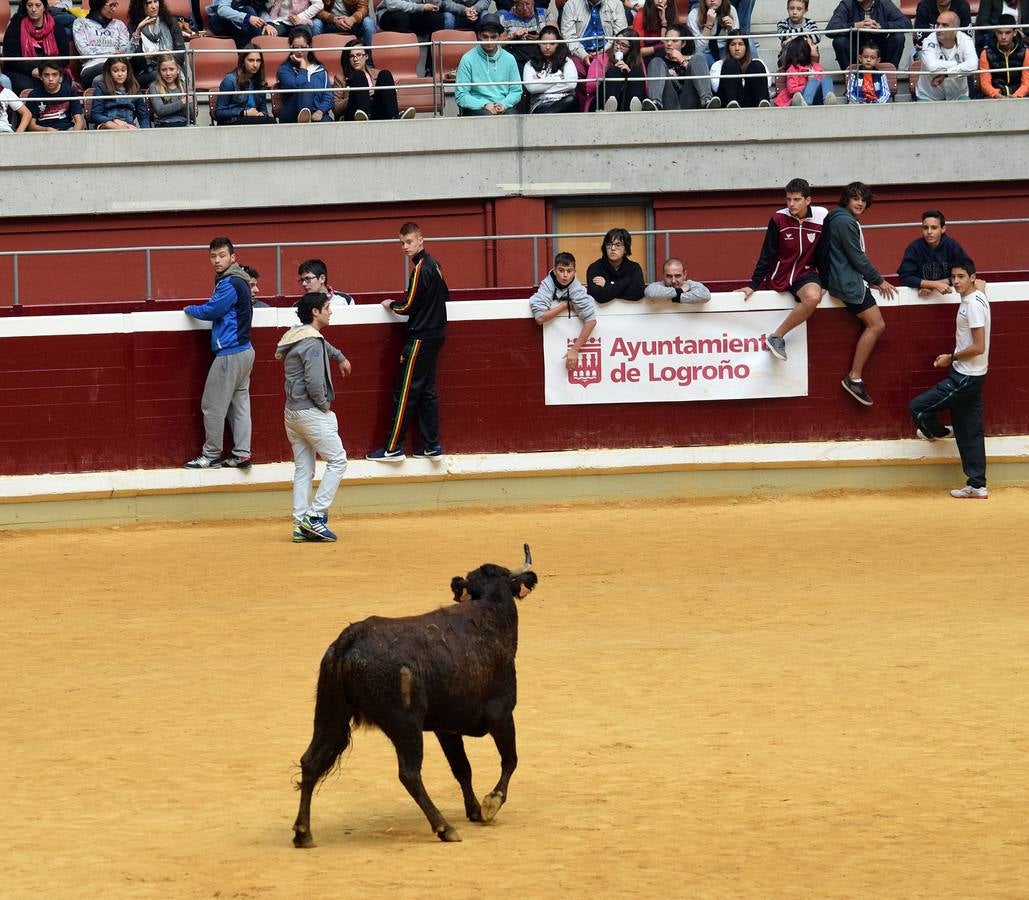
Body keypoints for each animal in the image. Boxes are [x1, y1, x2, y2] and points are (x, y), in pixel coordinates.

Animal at [292, 547, 539, 847]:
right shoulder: (501, 713)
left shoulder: (447, 728)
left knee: (310, 761)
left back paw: (303, 833)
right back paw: (444, 827)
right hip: (405, 725)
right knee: (409, 774)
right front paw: (491, 803)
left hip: (330, 716)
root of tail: (349, 638)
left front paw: (475, 810)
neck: (489, 609)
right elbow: (510, 760)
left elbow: (462, 768)